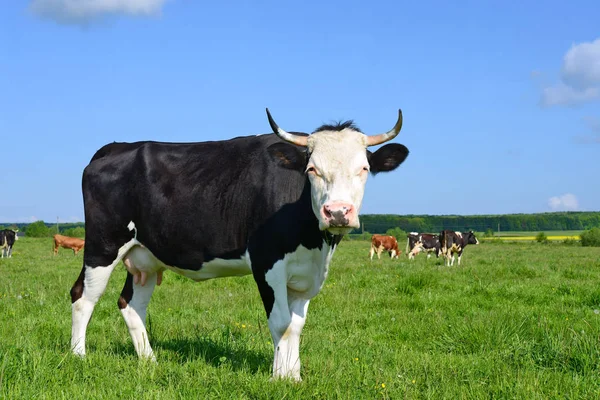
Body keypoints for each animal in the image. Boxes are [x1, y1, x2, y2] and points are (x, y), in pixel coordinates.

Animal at [68, 108, 410, 382]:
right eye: (312, 169)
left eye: (363, 168)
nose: (337, 212)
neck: (314, 241)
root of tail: (118, 147)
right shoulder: (266, 263)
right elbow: (282, 323)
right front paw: (279, 378)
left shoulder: (307, 274)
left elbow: (297, 326)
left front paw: (295, 377)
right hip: (103, 246)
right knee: (83, 296)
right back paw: (78, 356)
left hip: (144, 257)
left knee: (130, 304)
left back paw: (150, 361)